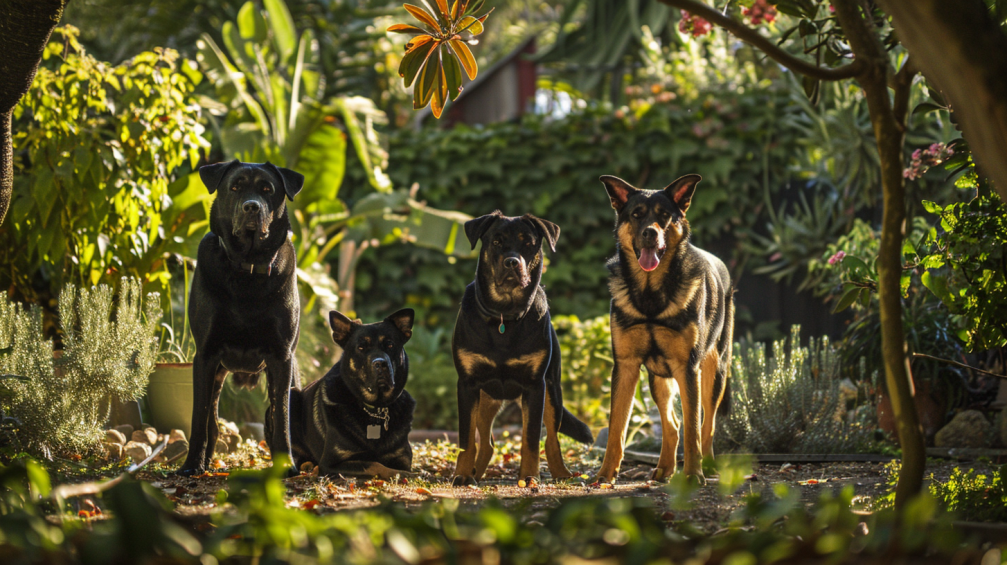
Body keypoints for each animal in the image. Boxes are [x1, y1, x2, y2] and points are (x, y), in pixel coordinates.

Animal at [179, 160, 302, 475]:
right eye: (235, 186)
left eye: (267, 189)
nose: (251, 208)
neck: (248, 265)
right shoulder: (206, 355)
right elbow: (199, 418)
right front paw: (191, 464)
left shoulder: (281, 357)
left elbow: (283, 417)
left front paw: (287, 465)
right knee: (211, 420)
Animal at [288, 306, 416, 477]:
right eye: (361, 347)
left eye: (389, 345)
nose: (380, 364)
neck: (375, 409)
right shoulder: (330, 463)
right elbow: (374, 464)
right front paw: (401, 474)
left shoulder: (402, 458)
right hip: (292, 396)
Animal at [453, 211, 592, 485]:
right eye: (496, 242)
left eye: (528, 243)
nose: (511, 263)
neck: (504, 316)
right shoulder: (467, 384)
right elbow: (466, 439)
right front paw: (462, 474)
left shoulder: (535, 385)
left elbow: (531, 438)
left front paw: (528, 476)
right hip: (486, 399)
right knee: (486, 443)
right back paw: (476, 473)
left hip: (552, 390)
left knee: (552, 439)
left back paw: (562, 474)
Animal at [592, 174, 737, 483]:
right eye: (636, 215)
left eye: (664, 216)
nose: (650, 233)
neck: (650, 295)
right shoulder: (626, 366)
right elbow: (617, 427)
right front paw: (606, 474)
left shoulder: (687, 368)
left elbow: (694, 428)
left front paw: (693, 474)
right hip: (658, 378)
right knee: (672, 424)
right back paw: (664, 468)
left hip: (714, 373)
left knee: (707, 424)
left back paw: (706, 466)